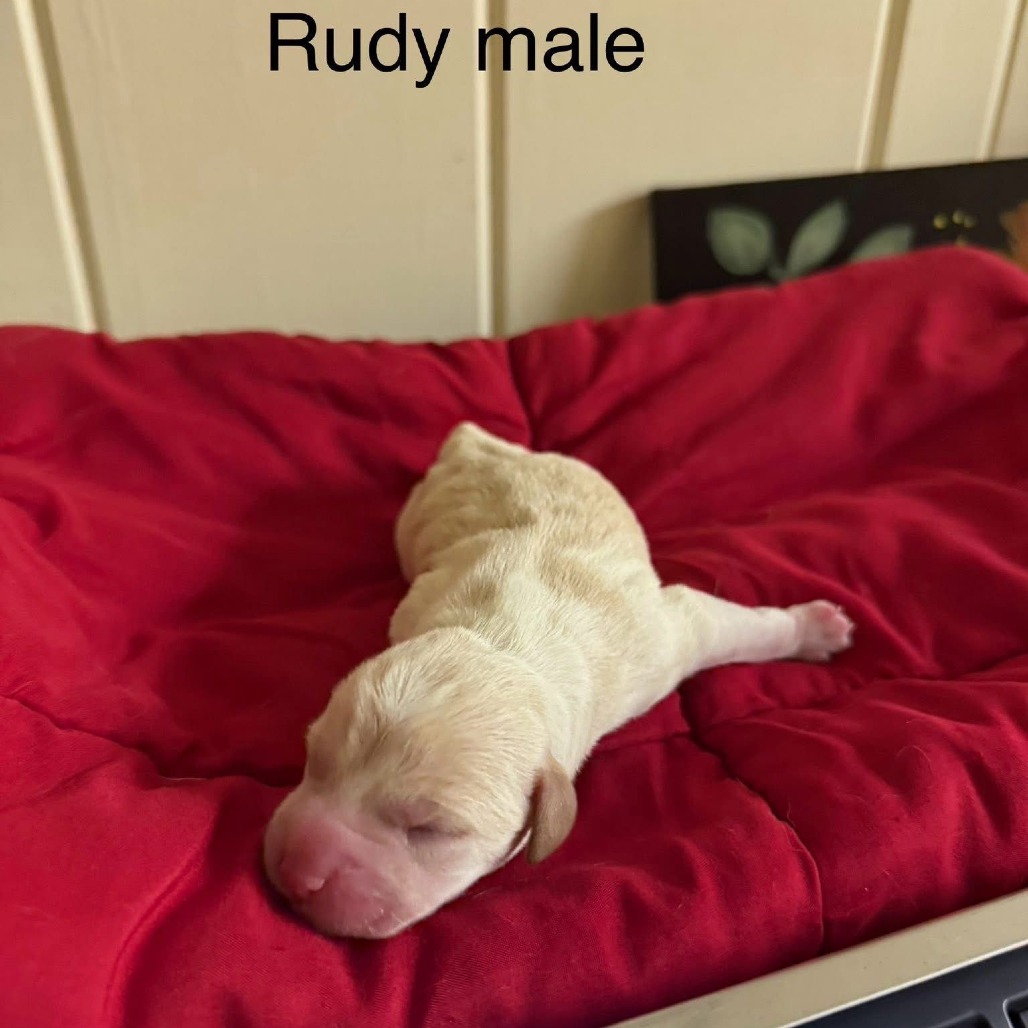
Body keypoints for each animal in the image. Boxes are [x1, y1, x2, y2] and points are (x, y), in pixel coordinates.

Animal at [263, 423, 853, 938]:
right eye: (314, 760)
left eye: (430, 831)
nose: (297, 873)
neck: (507, 641)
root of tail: (478, 442)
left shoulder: (660, 642)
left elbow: (729, 626)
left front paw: (811, 628)